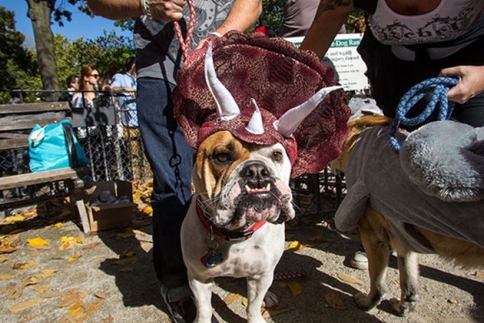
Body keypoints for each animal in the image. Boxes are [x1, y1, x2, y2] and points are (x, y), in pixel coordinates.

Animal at [332, 115, 484, 318]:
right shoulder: (402, 240)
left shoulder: (374, 238)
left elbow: (377, 281)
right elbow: (408, 281)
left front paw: (367, 302)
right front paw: (403, 307)